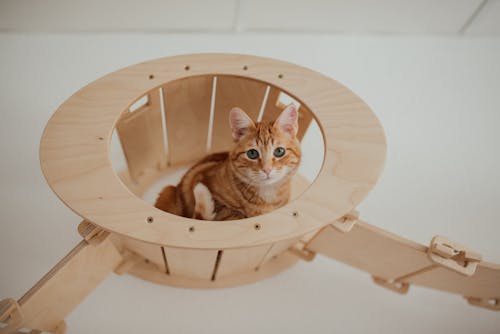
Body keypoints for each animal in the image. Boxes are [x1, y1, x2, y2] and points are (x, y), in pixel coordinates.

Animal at [154, 103, 300, 219]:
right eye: (252, 153)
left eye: (279, 151)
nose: (267, 169)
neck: (268, 194)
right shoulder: (201, 180)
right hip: (168, 191)